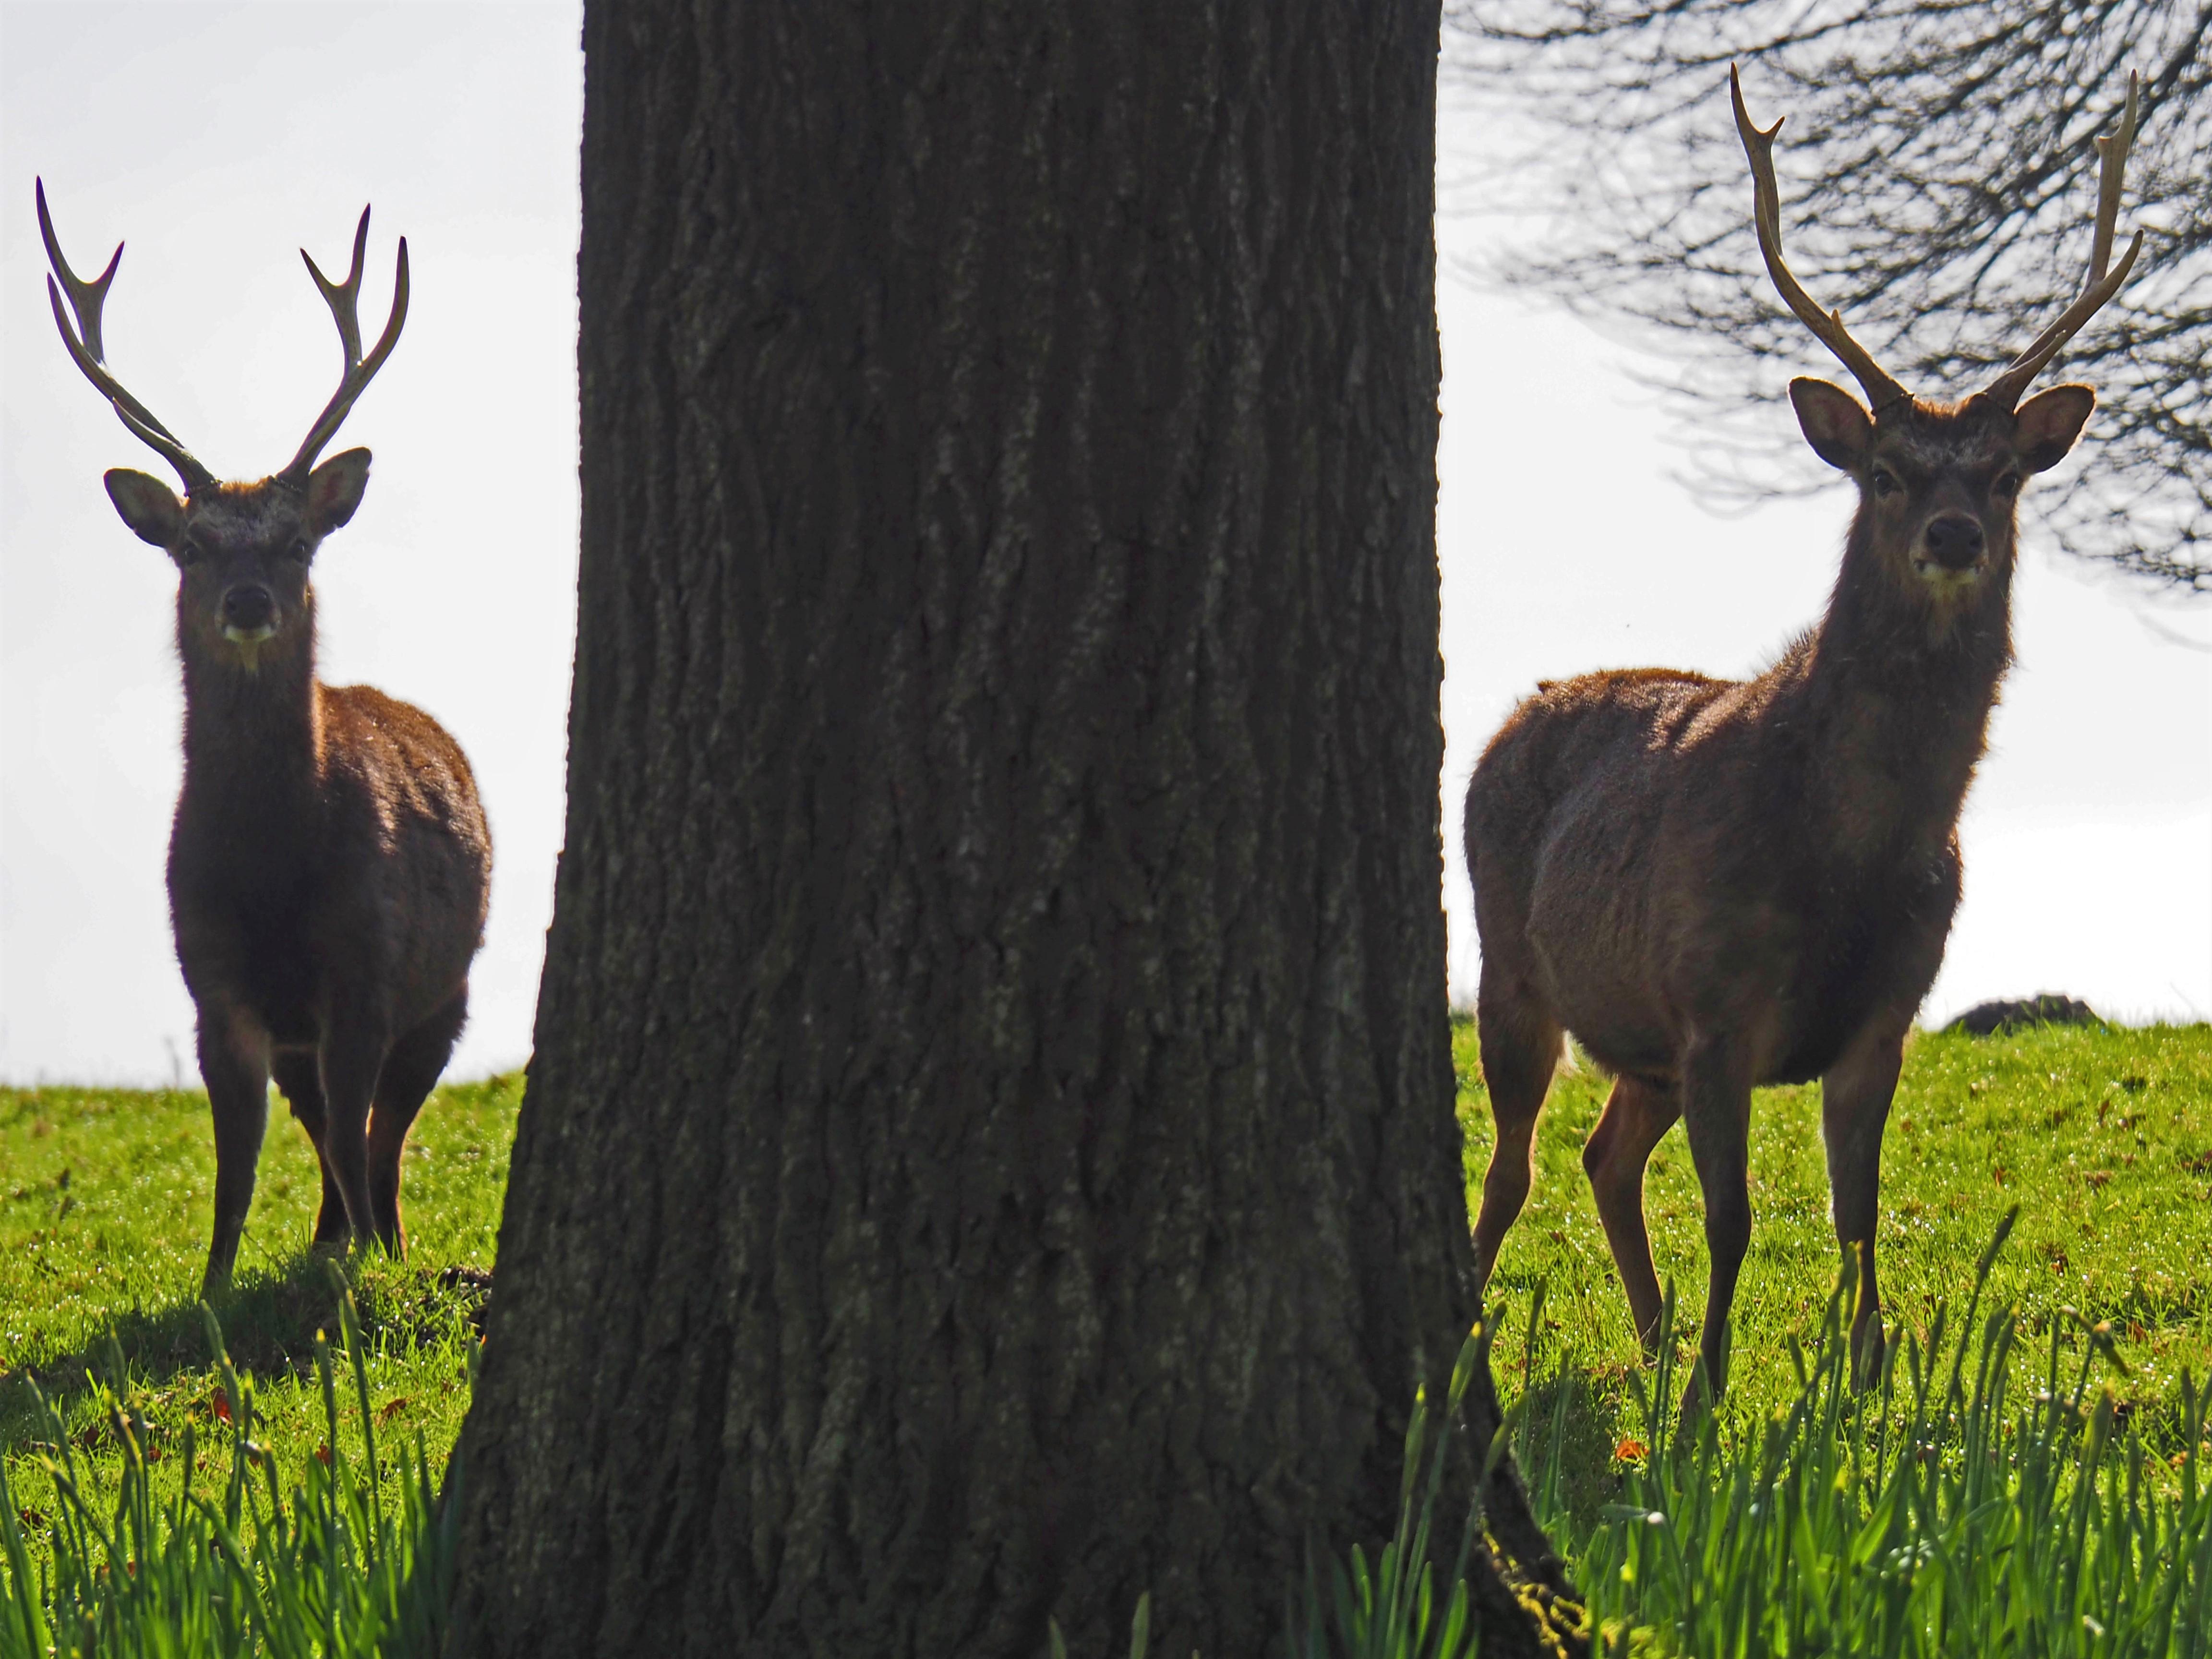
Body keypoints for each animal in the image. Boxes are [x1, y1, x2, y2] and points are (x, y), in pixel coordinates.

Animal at [37, 181, 493, 1300]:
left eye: (297, 542)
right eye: (195, 545)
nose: (247, 600)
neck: (270, 866)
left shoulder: (368, 964)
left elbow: (358, 1134)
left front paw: (365, 1267)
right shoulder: (211, 980)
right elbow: (236, 1167)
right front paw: (212, 1294)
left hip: (449, 987)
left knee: (382, 1133)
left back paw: (377, 1240)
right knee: (331, 1125)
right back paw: (332, 1238)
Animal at [1468, 71, 2141, 1407]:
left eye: (2002, 477)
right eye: (1885, 471)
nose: (1951, 533)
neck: (1853, 855)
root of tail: (1507, 718)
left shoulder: (1887, 1009)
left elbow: (1859, 1211)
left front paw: (1866, 1374)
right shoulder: (1714, 1000)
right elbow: (1733, 1218)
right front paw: (1712, 1395)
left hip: (1640, 1041)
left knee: (1603, 1155)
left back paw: (1651, 1334)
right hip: (1512, 966)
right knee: (1513, 1167)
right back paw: (1489, 1335)